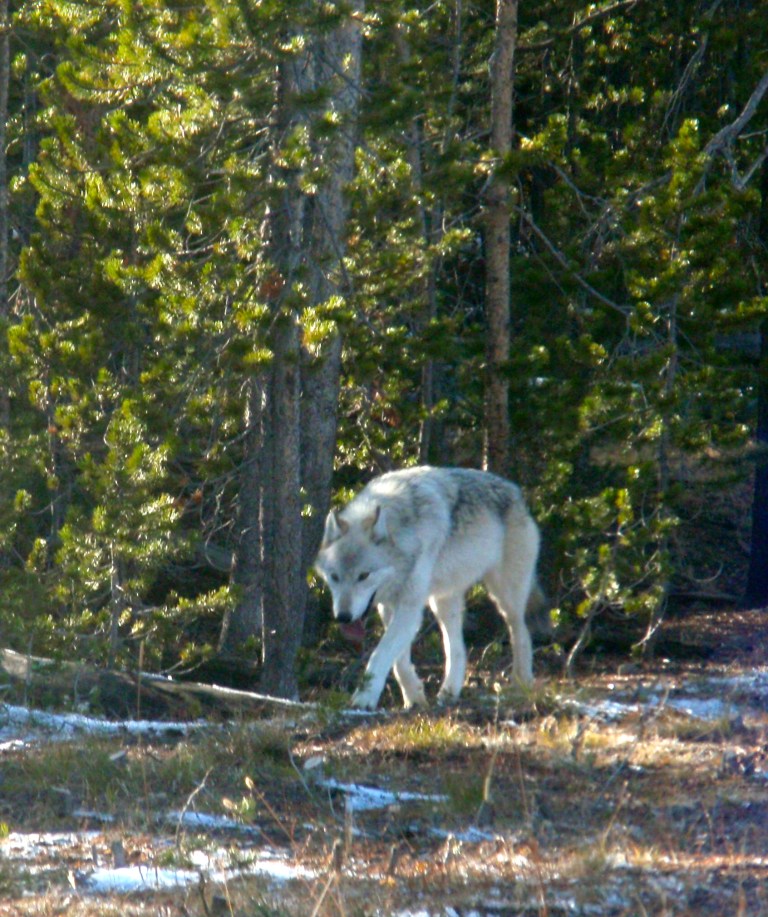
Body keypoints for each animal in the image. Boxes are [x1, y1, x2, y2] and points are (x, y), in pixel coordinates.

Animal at [315, 466, 541, 710]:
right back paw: (449, 692)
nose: (343, 617)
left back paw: (521, 684)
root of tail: (516, 492)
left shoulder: (410, 607)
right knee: (457, 648)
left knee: (522, 633)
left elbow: (380, 653)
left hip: (505, 598)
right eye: (334, 576)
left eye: (363, 575)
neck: (404, 532)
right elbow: (398, 660)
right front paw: (414, 697)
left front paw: (364, 698)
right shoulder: (389, 606)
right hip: (442, 602)